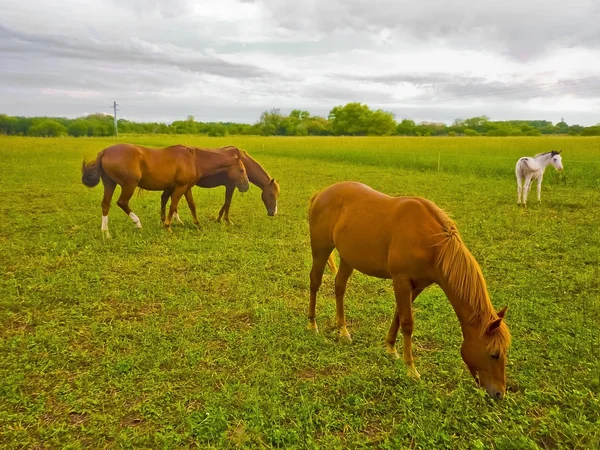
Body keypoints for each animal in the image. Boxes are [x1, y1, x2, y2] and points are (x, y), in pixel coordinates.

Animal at [81, 144, 248, 237]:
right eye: (241, 170)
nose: (246, 186)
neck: (192, 160)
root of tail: (104, 152)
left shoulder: (186, 187)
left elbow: (192, 206)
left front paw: (198, 225)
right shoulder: (180, 187)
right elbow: (173, 205)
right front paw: (168, 226)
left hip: (109, 184)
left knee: (105, 204)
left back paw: (106, 233)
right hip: (129, 185)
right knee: (122, 202)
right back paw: (137, 224)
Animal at [310, 181, 510, 400]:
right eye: (494, 354)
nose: (500, 393)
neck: (433, 243)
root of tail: (321, 193)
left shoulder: (418, 285)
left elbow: (398, 315)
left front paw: (390, 348)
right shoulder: (401, 281)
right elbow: (407, 323)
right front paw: (411, 369)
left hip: (348, 258)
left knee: (339, 287)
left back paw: (343, 330)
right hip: (320, 250)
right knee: (315, 282)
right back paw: (312, 324)